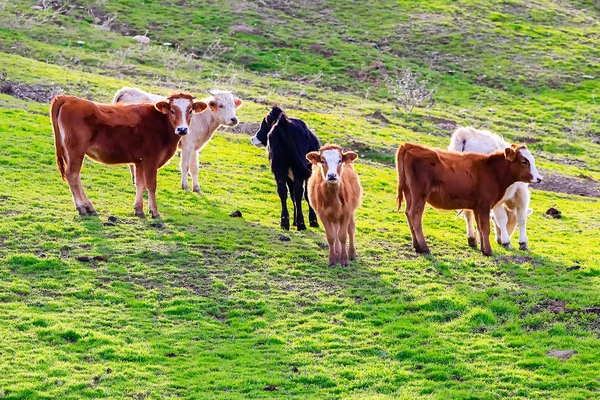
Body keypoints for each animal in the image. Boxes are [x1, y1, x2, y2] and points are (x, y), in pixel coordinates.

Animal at [48, 93, 206, 219]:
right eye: (172, 110)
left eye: (190, 110)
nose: (182, 129)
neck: (161, 124)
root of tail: (67, 98)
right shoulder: (151, 160)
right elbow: (151, 185)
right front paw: (154, 212)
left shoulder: (140, 161)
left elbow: (140, 184)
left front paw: (139, 210)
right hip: (76, 150)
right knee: (72, 174)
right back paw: (82, 207)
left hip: (69, 152)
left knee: (74, 176)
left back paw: (88, 207)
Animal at [113, 86, 243, 193]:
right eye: (221, 105)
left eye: (233, 105)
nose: (234, 119)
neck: (202, 118)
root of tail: (126, 90)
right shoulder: (187, 144)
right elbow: (185, 165)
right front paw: (185, 186)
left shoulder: (194, 147)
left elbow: (194, 167)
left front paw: (197, 189)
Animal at [394, 144, 544, 256]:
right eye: (524, 161)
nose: (539, 178)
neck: (491, 170)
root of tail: (410, 146)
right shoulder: (484, 206)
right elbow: (485, 228)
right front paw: (488, 251)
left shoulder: (477, 207)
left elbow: (480, 228)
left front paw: (483, 249)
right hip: (419, 195)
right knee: (415, 216)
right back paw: (424, 247)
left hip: (409, 194)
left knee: (408, 214)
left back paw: (416, 246)